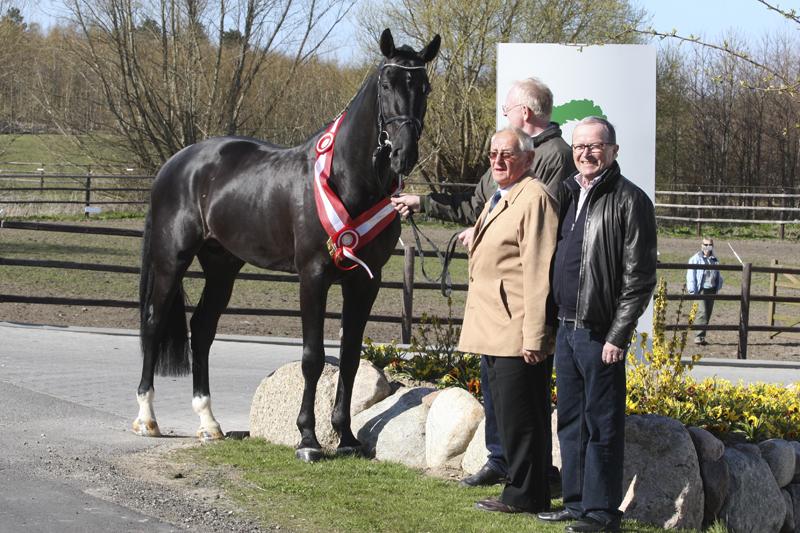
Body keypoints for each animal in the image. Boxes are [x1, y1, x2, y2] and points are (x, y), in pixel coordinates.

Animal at [134, 30, 440, 462]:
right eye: (386, 84)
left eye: (424, 87)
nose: (403, 153)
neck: (344, 179)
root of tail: (176, 163)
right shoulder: (312, 276)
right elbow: (312, 358)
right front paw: (308, 440)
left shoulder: (366, 281)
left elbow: (349, 357)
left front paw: (347, 437)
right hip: (169, 260)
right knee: (153, 322)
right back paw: (147, 418)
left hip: (222, 266)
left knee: (203, 328)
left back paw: (209, 423)